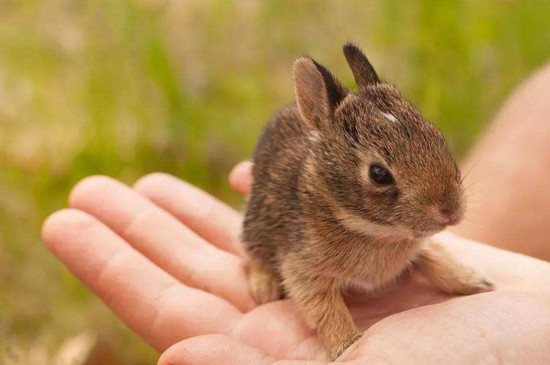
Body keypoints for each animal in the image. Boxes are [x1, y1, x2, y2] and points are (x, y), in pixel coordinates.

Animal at [244, 42, 494, 358]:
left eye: (437, 136)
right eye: (379, 174)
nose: (451, 211)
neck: (370, 228)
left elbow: (438, 261)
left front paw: (475, 282)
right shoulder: (302, 266)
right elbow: (324, 308)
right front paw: (347, 343)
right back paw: (263, 288)